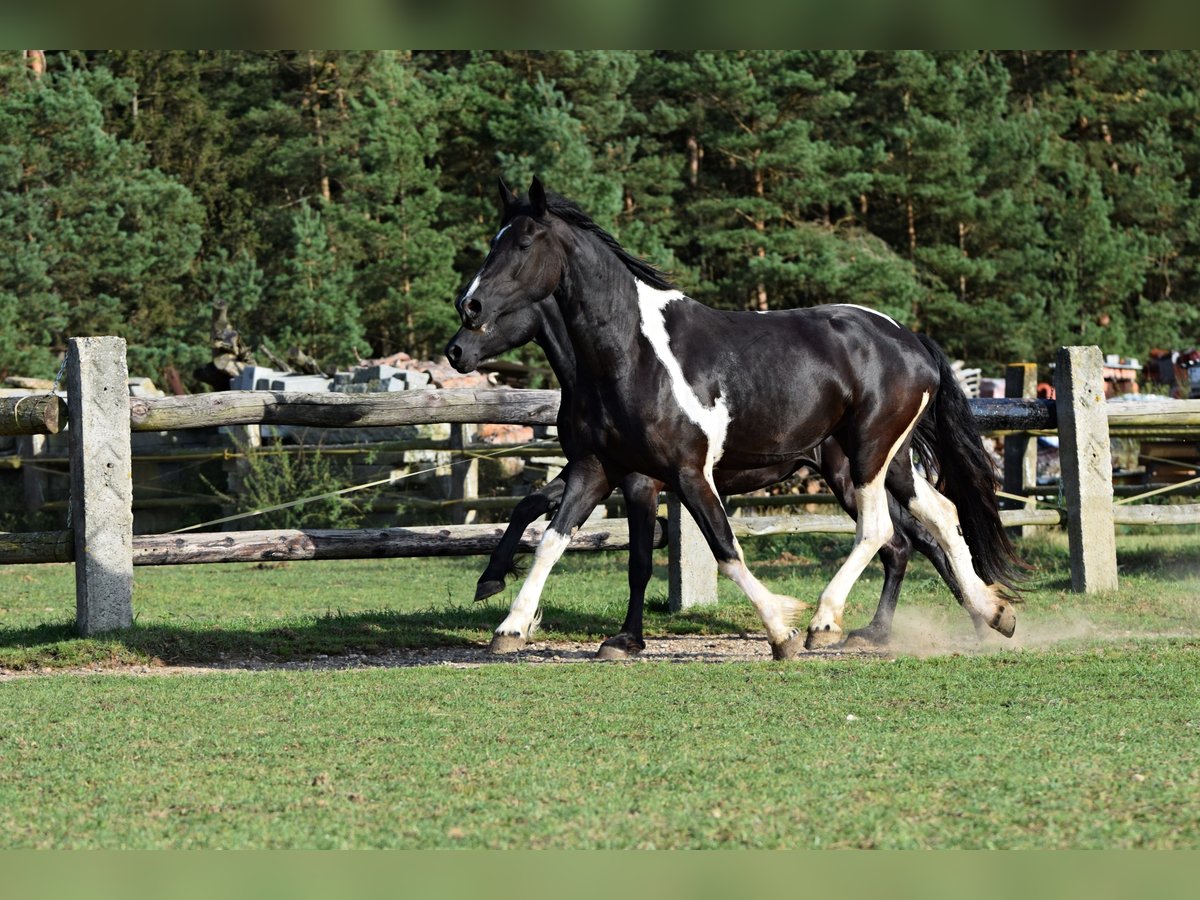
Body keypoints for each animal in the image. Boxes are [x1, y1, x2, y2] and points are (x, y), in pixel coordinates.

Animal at [451, 180, 1022, 662]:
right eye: (494, 242)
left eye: (524, 243)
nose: (467, 313)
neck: (631, 354)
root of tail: (909, 338)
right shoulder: (596, 468)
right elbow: (552, 537)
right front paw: (510, 625)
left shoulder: (679, 474)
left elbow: (720, 551)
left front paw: (780, 631)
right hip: (885, 462)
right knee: (939, 517)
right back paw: (990, 612)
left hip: (867, 457)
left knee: (882, 530)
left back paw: (826, 623)